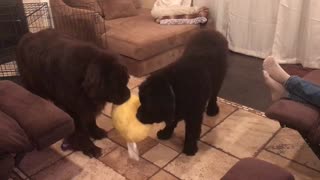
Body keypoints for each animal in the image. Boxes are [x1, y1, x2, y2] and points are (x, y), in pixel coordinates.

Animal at [16, 28, 130, 157]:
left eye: (125, 81)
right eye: (115, 83)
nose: (128, 95)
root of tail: (27, 35)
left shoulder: (85, 105)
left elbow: (90, 119)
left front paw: (96, 132)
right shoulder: (73, 109)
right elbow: (79, 131)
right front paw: (90, 147)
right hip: (34, 87)